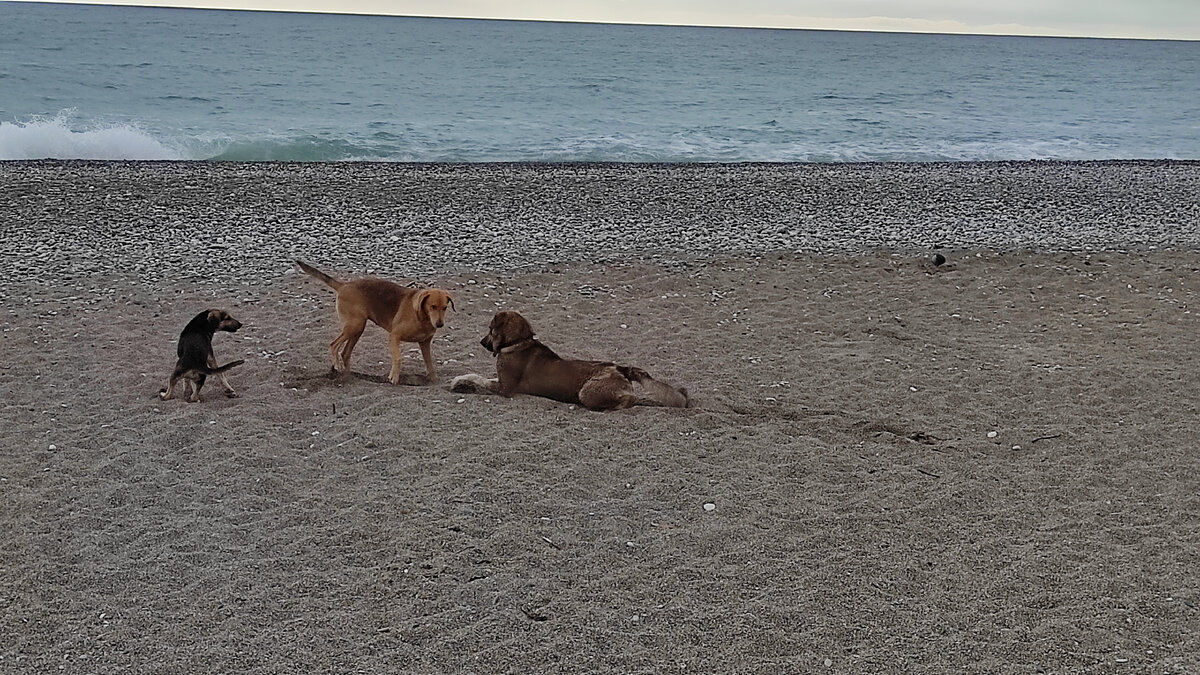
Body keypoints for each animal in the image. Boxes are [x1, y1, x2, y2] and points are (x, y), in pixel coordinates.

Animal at [295, 258, 453, 384]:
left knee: (345, 353)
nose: (439, 324)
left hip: (358, 328)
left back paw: (348, 376)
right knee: (334, 345)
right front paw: (394, 377)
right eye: (432, 306)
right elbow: (398, 358)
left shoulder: (425, 343)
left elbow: (429, 363)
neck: (422, 317)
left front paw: (433, 380)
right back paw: (338, 367)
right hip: (354, 326)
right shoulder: (394, 336)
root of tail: (344, 285)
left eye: (445, 308)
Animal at [451, 309, 696, 410]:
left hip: (587, 392)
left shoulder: (504, 388)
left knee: (628, 399)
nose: (481, 342)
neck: (519, 342)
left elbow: (478, 377)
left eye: (490, 329)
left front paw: (461, 382)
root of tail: (620, 368)